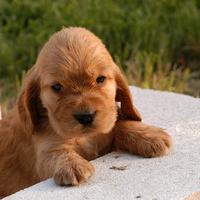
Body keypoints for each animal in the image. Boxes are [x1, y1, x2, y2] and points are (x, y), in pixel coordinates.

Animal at [0, 27, 172, 198]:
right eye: (57, 87)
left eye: (100, 79)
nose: (85, 117)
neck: (86, 137)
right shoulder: (46, 150)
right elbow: (56, 153)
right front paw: (72, 165)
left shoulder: (107, 130)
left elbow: (118, 125)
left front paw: (149, 135)